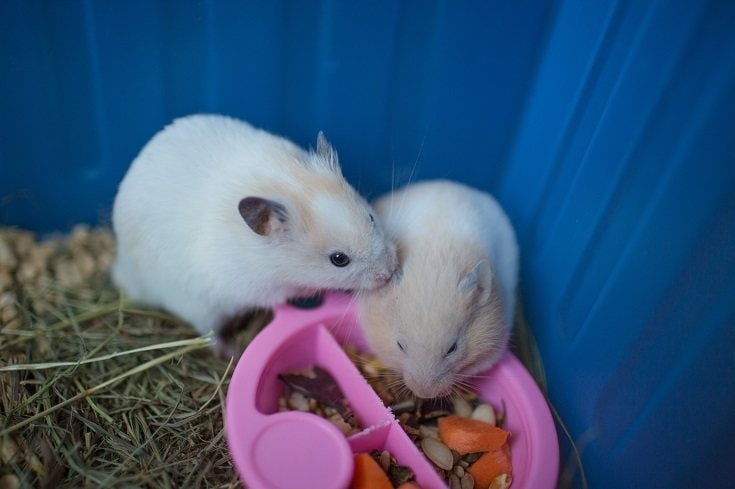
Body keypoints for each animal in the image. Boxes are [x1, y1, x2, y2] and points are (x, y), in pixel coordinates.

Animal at [112, 115, 396, 344]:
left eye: (371, 217)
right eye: (339, 259)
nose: (390, 272)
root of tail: (121, 265)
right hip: (196, 306)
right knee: (208, 335)